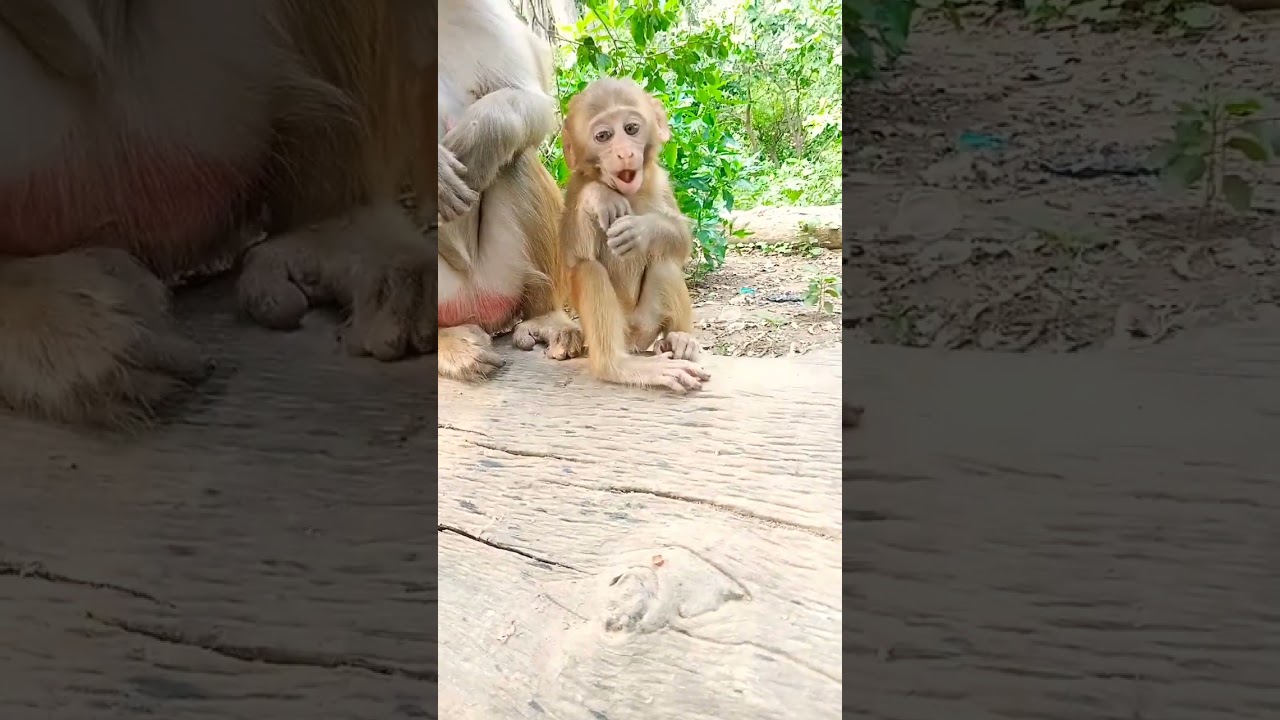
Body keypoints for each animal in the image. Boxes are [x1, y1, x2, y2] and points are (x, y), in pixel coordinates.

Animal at [436, 0, 584, 382]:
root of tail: (473, 304)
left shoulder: (478, 13)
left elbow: (534, 102)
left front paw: (478, 137)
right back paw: (446, 344)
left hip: (501, 275)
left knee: (517, 159)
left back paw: (545, 317)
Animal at [558, 77, 711, 394]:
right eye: (603, 136)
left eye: (631, 129)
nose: (625, 153)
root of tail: (633, 340)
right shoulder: (574, 187)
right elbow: (571, 259)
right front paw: (599, 196)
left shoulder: (660, 180)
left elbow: (681, 239)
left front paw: (643, 231)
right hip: (619, 331)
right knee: (588, 270)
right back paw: (618, 365)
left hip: (646, 322)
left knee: (665, 261)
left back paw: (680, 340)